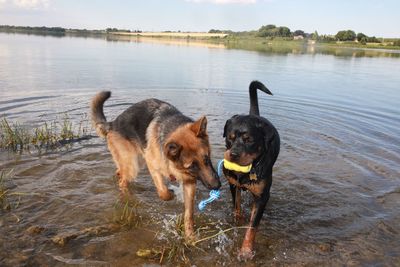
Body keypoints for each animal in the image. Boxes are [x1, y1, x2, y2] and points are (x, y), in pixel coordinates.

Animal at [91, 92, 222, 241]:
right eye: (192, 166)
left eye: (206, 158)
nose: (217, 185)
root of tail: (112, 124)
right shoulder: (153, 166)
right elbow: (163, 192)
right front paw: (170, 194)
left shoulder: (189, 181)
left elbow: (189, 214)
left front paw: (190, 237)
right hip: (133, 165)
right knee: (123, 182)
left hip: (134, 161)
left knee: (120, 172)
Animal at [222, 80, 282, 260]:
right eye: (230, 138)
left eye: (249, 140)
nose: (233, 154)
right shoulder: (233, 184)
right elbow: (237, 207)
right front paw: (237, 222)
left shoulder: (262, 197)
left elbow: (252, 227)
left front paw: (246, 250)